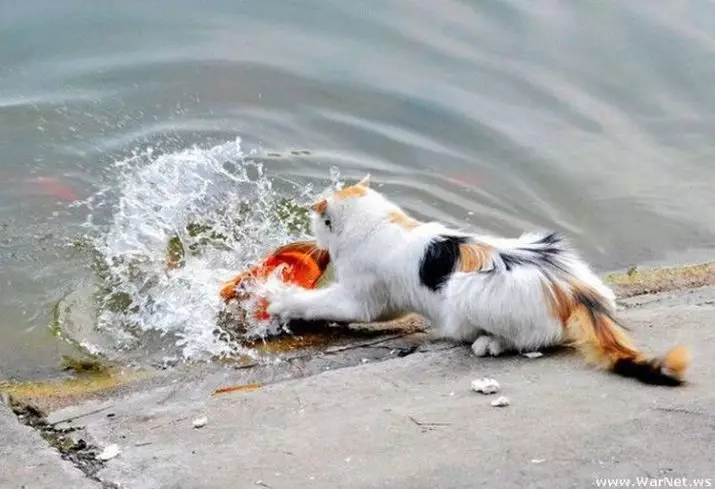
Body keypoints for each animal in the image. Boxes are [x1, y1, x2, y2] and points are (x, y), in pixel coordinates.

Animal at [266, 175, 692, 386]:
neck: (383, 225)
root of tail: (574, 288)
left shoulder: (363, 300)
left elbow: (320, 302)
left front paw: (279, 298)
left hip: (468, 289)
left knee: (536, 338)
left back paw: (488, 343)